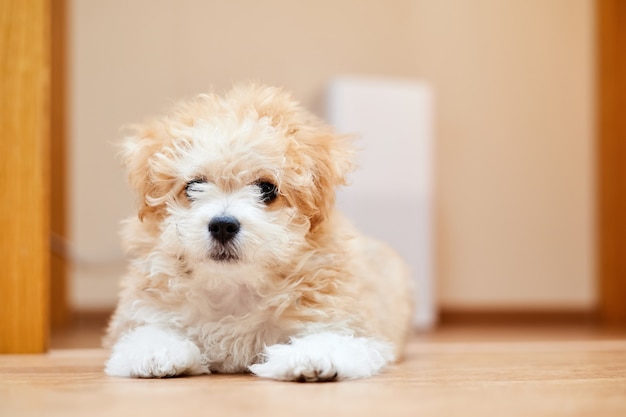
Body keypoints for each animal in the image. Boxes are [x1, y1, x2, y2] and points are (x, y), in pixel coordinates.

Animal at [103, 83, 410, 380]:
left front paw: (310, 356)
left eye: (267, 189)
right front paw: (158, 352)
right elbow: (144, 334)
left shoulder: (351, 321)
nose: (222, 225)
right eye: (193, 186)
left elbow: (336, 339)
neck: (234, 289)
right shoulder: (143, 311)